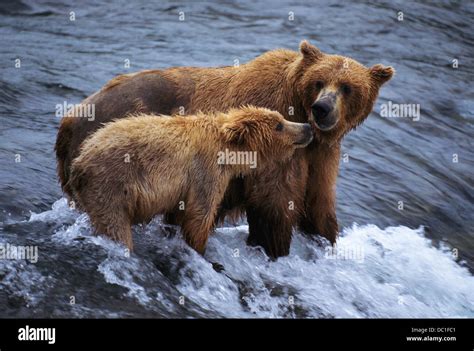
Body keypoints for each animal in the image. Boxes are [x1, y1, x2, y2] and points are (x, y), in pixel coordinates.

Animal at [55, 41, 392, 258]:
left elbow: (319, 203)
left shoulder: (322, 154)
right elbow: (276, 203)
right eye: (319, 81)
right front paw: (274, 249)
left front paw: (326, 240)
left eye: (348, 87)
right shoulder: (272, 148)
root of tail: (71, 116)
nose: (322, 109)